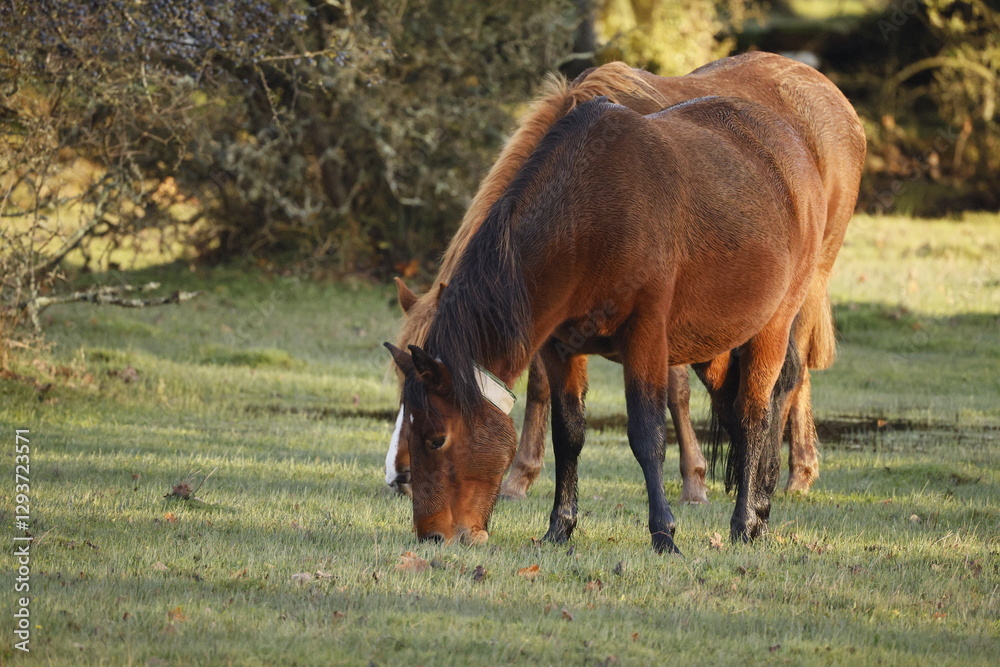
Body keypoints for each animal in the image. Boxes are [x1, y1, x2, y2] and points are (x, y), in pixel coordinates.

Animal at [385, 53, 865, 505]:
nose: (401, 475)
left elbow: (671, 393)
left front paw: (693, 482)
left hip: (809, 282)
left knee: (789, 373)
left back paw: (785, 475)